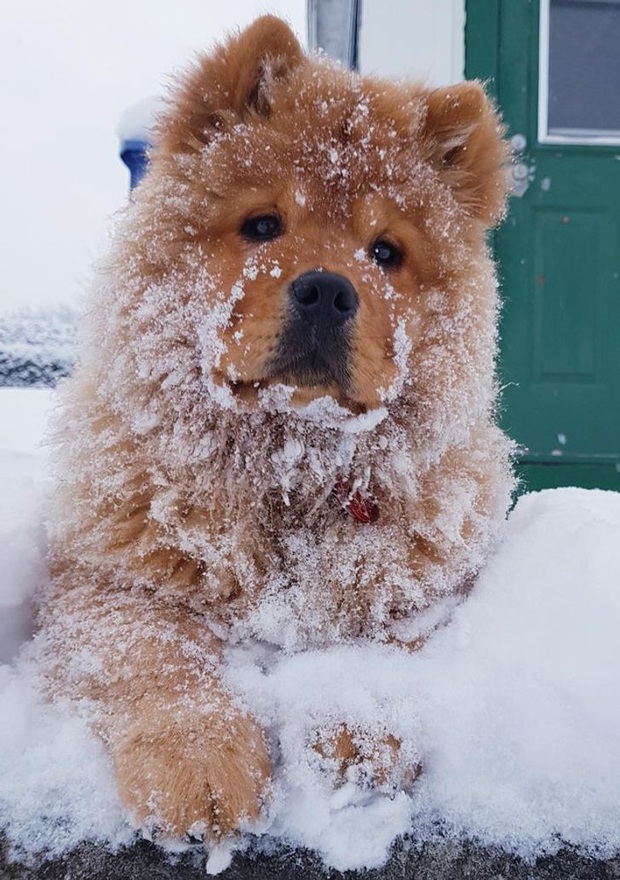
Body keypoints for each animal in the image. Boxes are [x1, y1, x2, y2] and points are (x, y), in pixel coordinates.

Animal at [37, 17, 512, 844]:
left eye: (385, 252)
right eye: (263, 226)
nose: (327, 290)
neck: (289, 470)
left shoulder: (426, 585)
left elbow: (385, 633)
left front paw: (356, 729)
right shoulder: (108, 579)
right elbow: (157, 655)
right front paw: (198, 763)